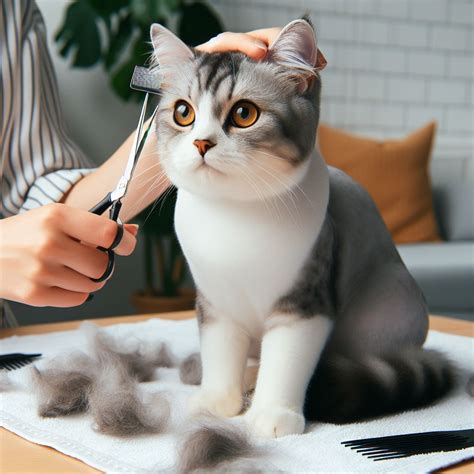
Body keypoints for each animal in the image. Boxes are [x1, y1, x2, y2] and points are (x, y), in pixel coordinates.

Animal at [150, 18, 454, 438]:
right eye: (183, 112)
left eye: (244, 113)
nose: (201, 143)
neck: (233, 214)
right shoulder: (215, 301)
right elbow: (220, 352)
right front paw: (218, 401)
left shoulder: (305, 301)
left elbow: (286, 361)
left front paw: (272, 414)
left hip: (386, 303)